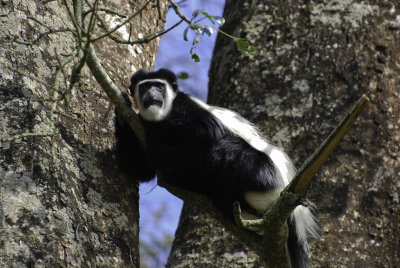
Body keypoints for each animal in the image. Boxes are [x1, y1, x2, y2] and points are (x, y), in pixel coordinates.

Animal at [115, 68, 318, 266]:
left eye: (159, 86)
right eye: (144, 87)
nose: (151, 94)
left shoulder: (185, 106)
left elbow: (207, 130)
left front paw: (159, 144)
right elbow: (140, 170)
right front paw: (122, 109)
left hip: (261, 172)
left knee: (224, 148)